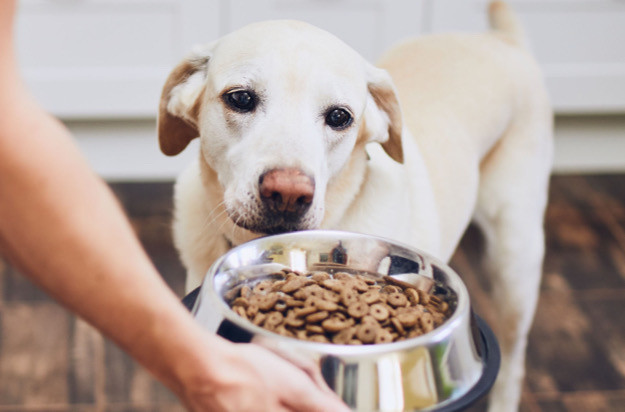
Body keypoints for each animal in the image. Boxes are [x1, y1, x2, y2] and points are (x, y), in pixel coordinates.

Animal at [156, 2, 552, 408]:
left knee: (514, 361)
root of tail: (502, 39)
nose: (288, 194)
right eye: (240, 98)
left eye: (339, 117)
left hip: (515, 263)